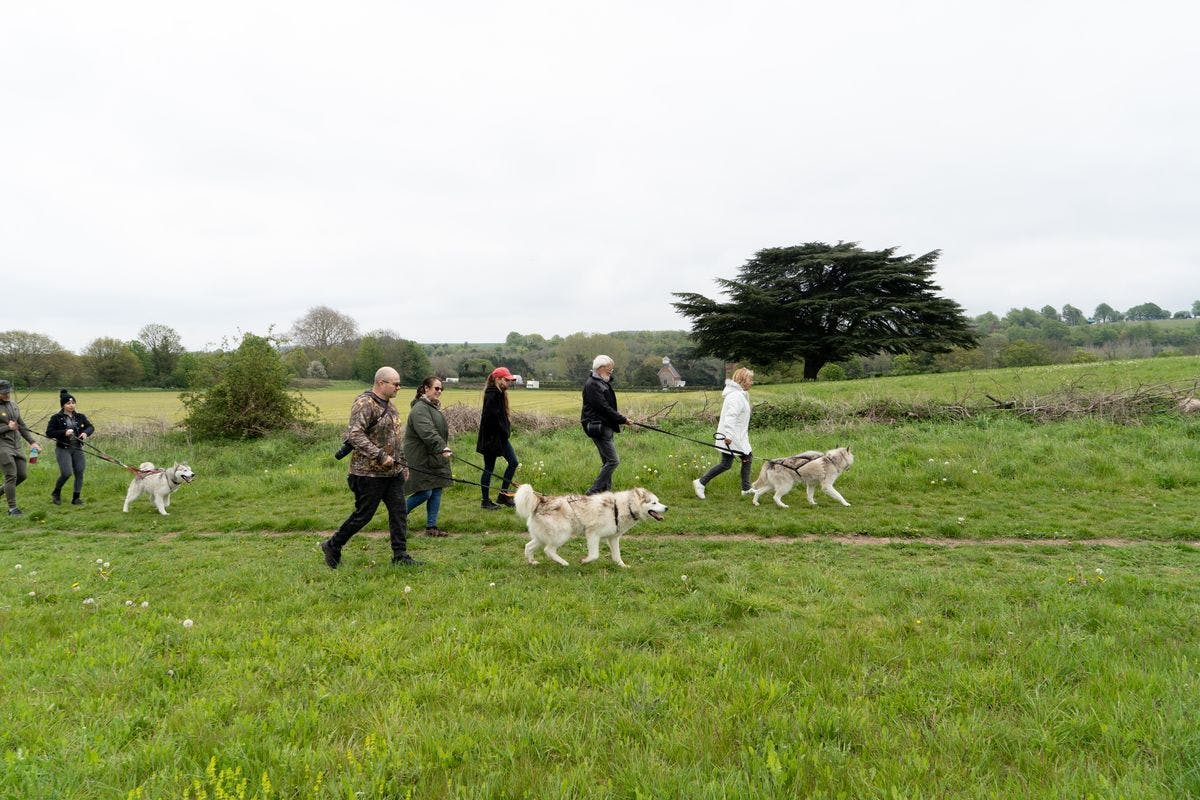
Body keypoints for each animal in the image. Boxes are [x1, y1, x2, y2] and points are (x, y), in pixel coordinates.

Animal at [513, 484, 672, 566]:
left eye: (658, 501)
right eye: (654, 503)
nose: (666, 508)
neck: (622, 507)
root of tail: (541, 500)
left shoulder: (613, 538)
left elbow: (617, 556)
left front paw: (622, 566)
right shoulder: (592, 534)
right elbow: (594, 555)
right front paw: (584, 561)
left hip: (542, 537)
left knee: (528, 547)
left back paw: (532, 562)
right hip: (562, 535)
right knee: (548, 550)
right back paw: (564, 563)